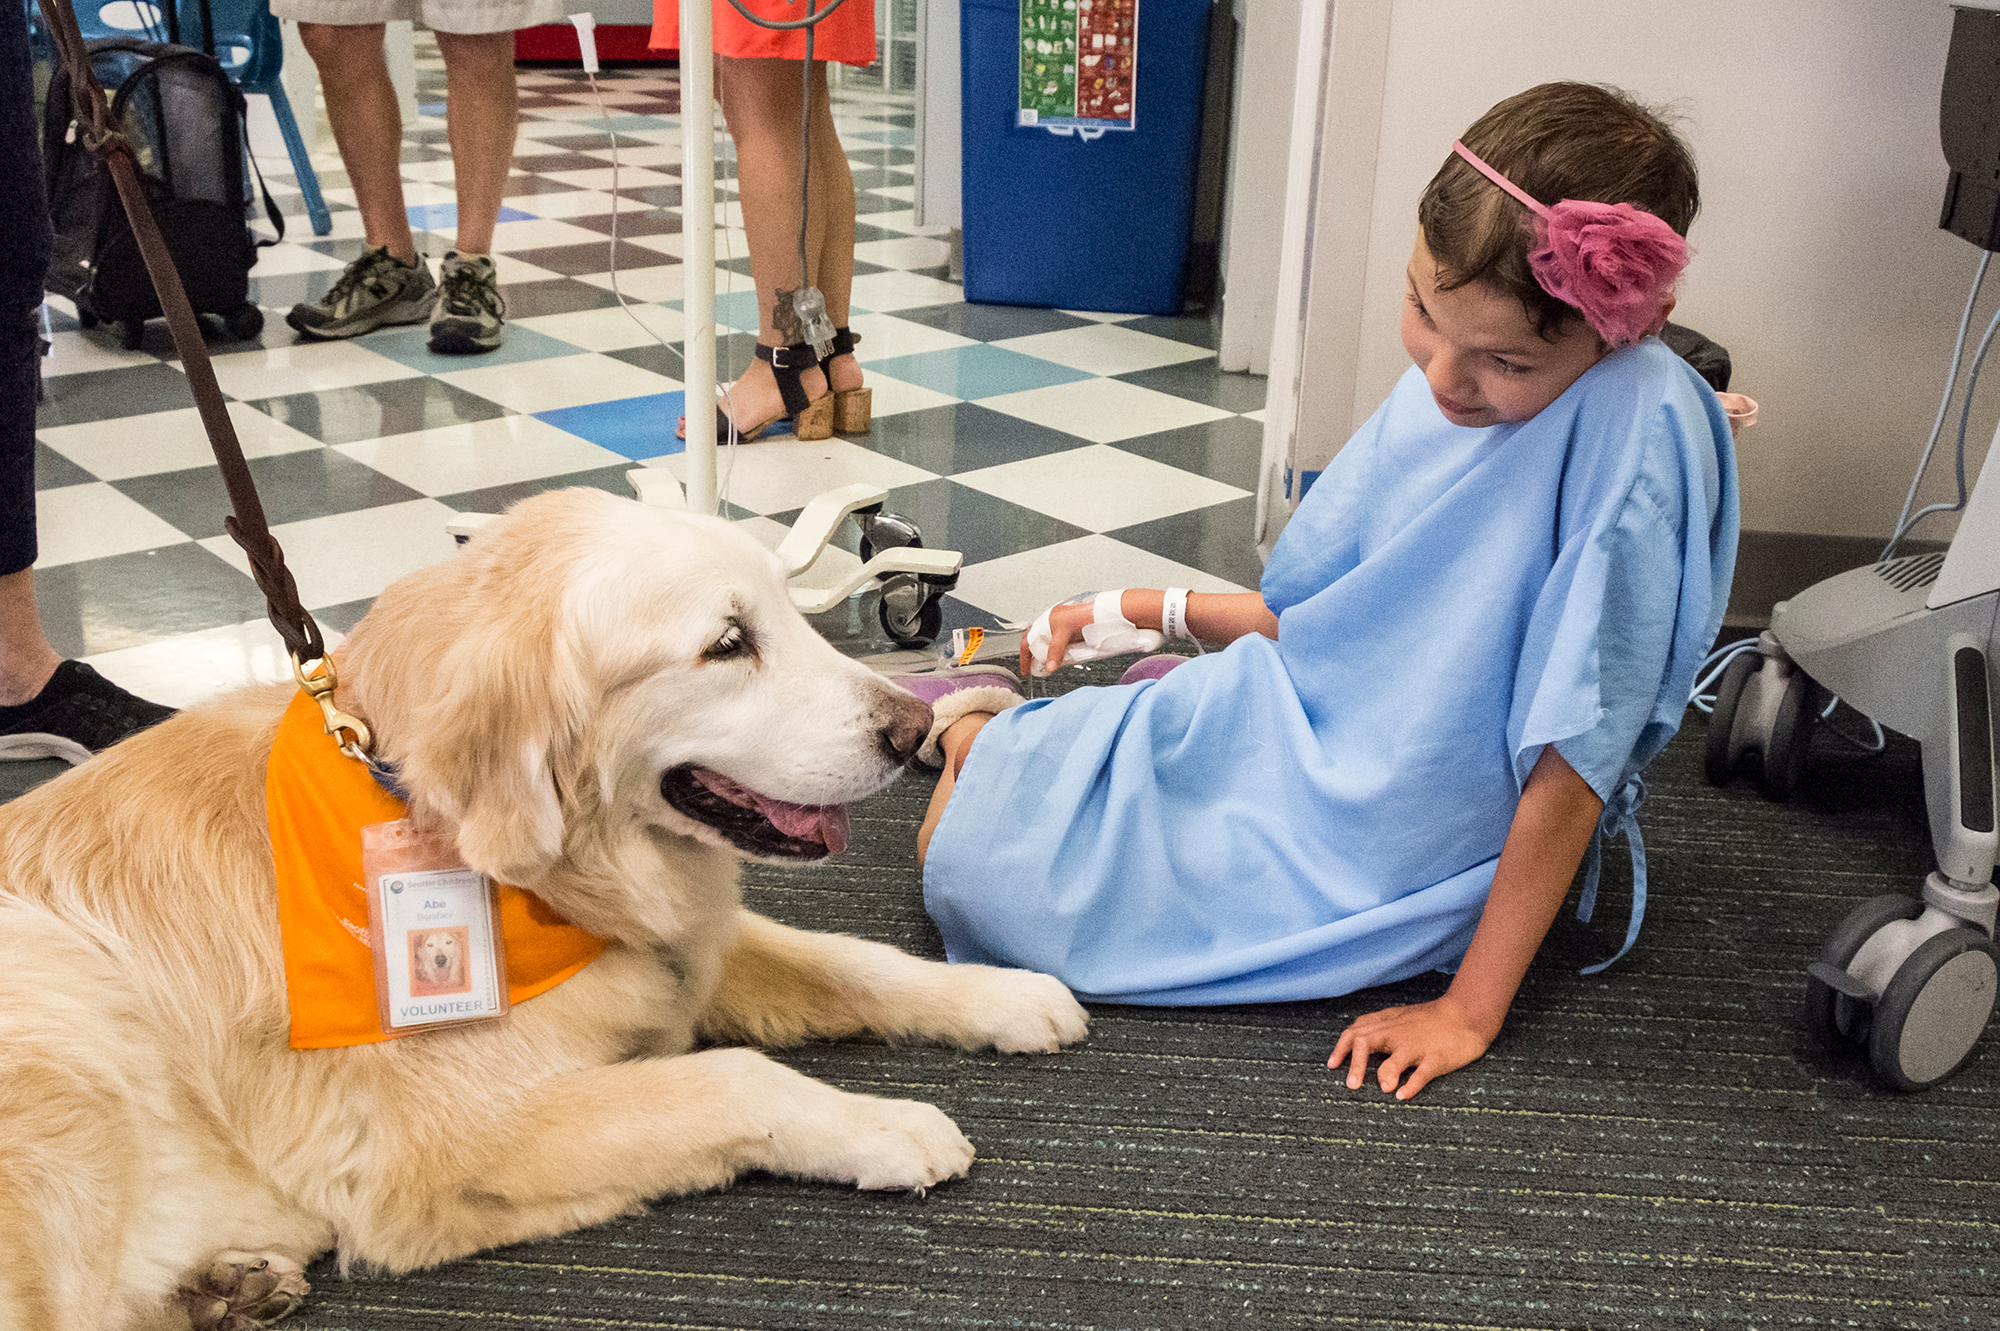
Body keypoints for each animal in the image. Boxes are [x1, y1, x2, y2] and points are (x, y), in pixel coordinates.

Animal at [0, 487, 1088, 1327]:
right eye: (726, 644)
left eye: (789, 610)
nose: (912, 731)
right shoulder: (445, 1139)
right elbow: (735, 1078)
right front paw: (890, 1125)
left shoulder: (671, 943)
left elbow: (853, 959)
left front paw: (1005, 993)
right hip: (59, 1017)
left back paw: (223, 1285)